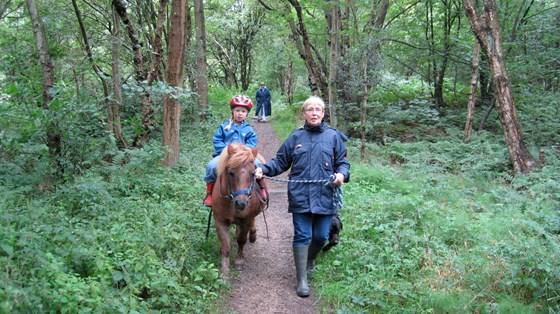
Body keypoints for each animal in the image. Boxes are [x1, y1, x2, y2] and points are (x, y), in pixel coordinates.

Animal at [213, 143, 268, 280]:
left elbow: (242, 240)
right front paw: (224, 272)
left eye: (252, 174)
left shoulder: (246, 220)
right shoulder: (220, 221)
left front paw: (239, 261)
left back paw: (252, 236)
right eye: (231, 173)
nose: (241, 203)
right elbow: (225, 247)